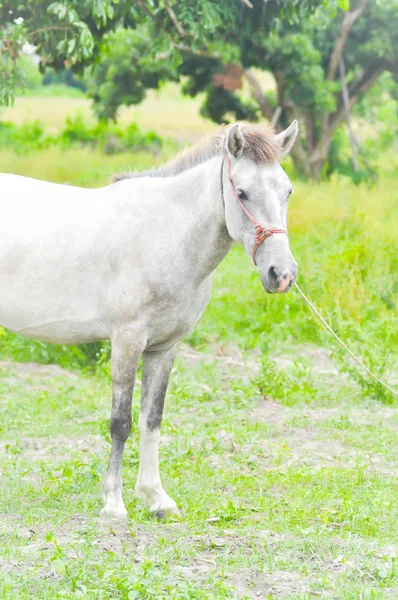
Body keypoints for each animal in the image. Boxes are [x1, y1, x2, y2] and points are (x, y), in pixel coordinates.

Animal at [0, 123, 298, 520]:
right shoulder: (127, 341)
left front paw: (156, 497)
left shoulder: (164, 348)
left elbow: (151, 419)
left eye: (287, 191)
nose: (282, 274)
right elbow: (121, 422)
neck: (165, 234)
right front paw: (114, 502)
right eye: (243, 193)